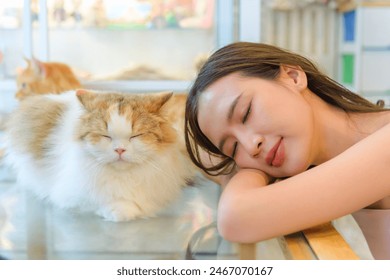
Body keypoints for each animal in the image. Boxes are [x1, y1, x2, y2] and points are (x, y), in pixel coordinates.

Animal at [3, 89, 195, 221]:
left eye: (136, 136)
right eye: (105, 136)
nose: (120, 150)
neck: (122, 178)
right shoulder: (72, 197)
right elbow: (106, 202)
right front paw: (121, 211)